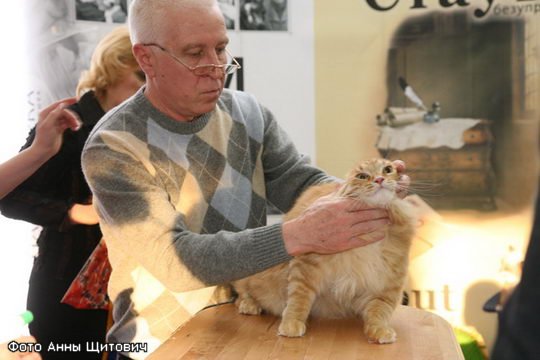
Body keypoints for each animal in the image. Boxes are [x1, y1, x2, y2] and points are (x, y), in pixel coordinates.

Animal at [233, 158, 418, 344]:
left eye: (387, 169)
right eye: (362, 176)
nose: (379, 179)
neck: (369, 238)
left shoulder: (389, 282)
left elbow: (379, 311)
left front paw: (380, 331)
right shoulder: (305, 268)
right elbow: (298, 300)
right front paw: (291, 324)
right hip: (249, 273)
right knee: (242, 293)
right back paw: (249, 305)